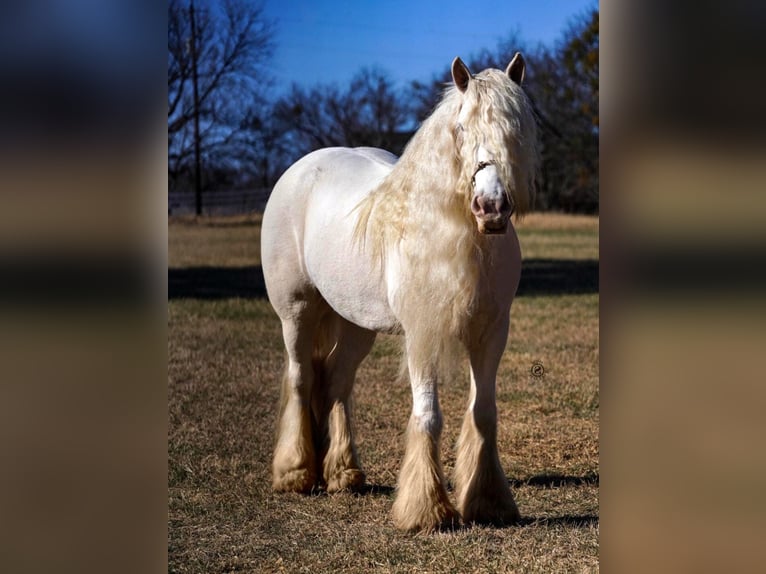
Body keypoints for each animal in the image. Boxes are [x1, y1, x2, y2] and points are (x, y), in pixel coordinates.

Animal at [262, 55, 540, 536]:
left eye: (515, 128)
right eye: (461, 128)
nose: (491, 208)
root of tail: (299, 170)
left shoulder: (491, 332)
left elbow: (483, 412)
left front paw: (488, 501)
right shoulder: (422, 334)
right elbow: (428, 415)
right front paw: (425, 510)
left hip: (355, 325)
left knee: (335, 380)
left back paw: (343, 474)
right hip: (296, 313)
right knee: (300, 378)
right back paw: (296, 473)